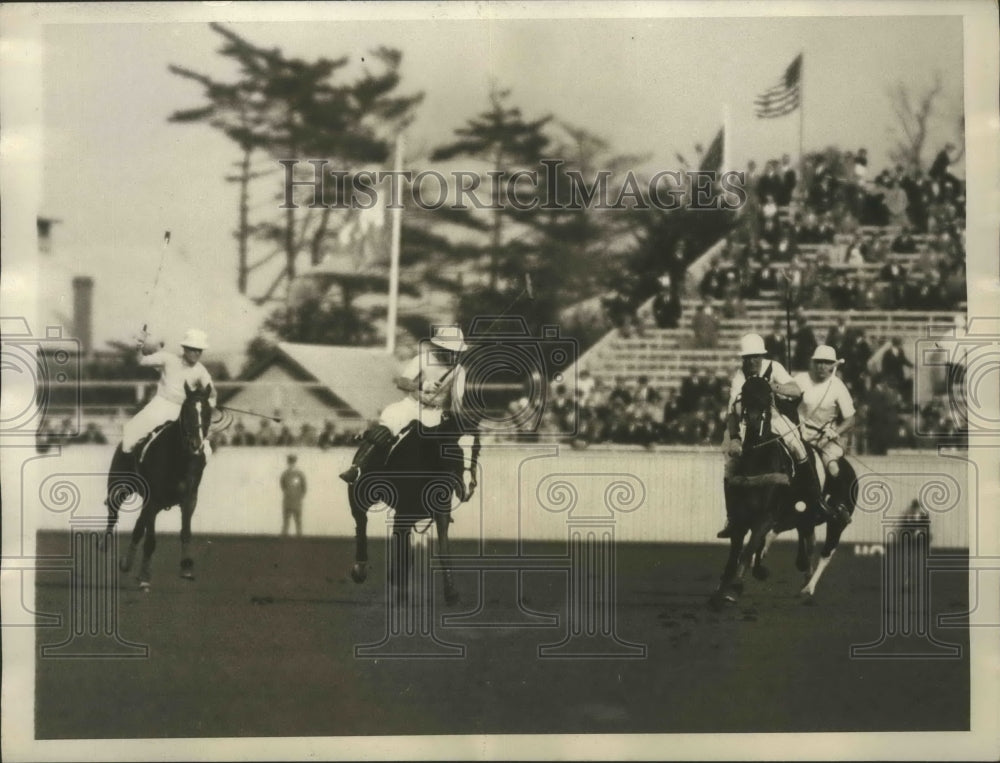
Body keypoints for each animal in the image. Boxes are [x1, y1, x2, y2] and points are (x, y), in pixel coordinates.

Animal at [103, 382, 213, 592]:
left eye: (208, 412)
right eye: (186, 410)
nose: (196, 444)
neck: (179, 457)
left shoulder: (189, 499)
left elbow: (185, 532)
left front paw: (187, 567)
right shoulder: (153, 500)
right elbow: (151, 540)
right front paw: (145, 576)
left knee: (139, 527)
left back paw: (127, 563)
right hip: (119, 488)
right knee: (114, 515)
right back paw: (105, 546)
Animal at [348, 414, 480, 604]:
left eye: (477, 449)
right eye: (455, 450)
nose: (469, 487)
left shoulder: (441, 514)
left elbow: (443, 548)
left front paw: (451, 592)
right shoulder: (402, 514)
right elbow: (402, 549)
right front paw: (401, 590)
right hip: (359, 498)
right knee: (361, 523)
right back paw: (360, 569)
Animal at [712, 376, 796, 608]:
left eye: (767, 395)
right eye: (744, 394)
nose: (754, 420)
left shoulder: (766, 516)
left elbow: (749, 548)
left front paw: (734, 588)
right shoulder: (739, 517)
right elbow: (735, 551)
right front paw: (723, 587)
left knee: (758, 543)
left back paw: (757, 570)